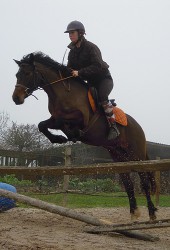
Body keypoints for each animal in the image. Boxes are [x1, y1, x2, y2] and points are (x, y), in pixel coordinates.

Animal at [12, 51, 157, 220]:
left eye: (27, 73)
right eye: (17, 74)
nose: (16, 98)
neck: (63, 92)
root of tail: (139, 127)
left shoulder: (80, 118)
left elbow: (62, 121)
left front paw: (71, 134)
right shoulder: (53, 119)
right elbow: (42, 125)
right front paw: (59, 138)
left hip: (136, 154)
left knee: (145, 181)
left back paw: (152, 213)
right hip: (118, 155)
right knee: (127, 182)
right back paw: (134, 212)